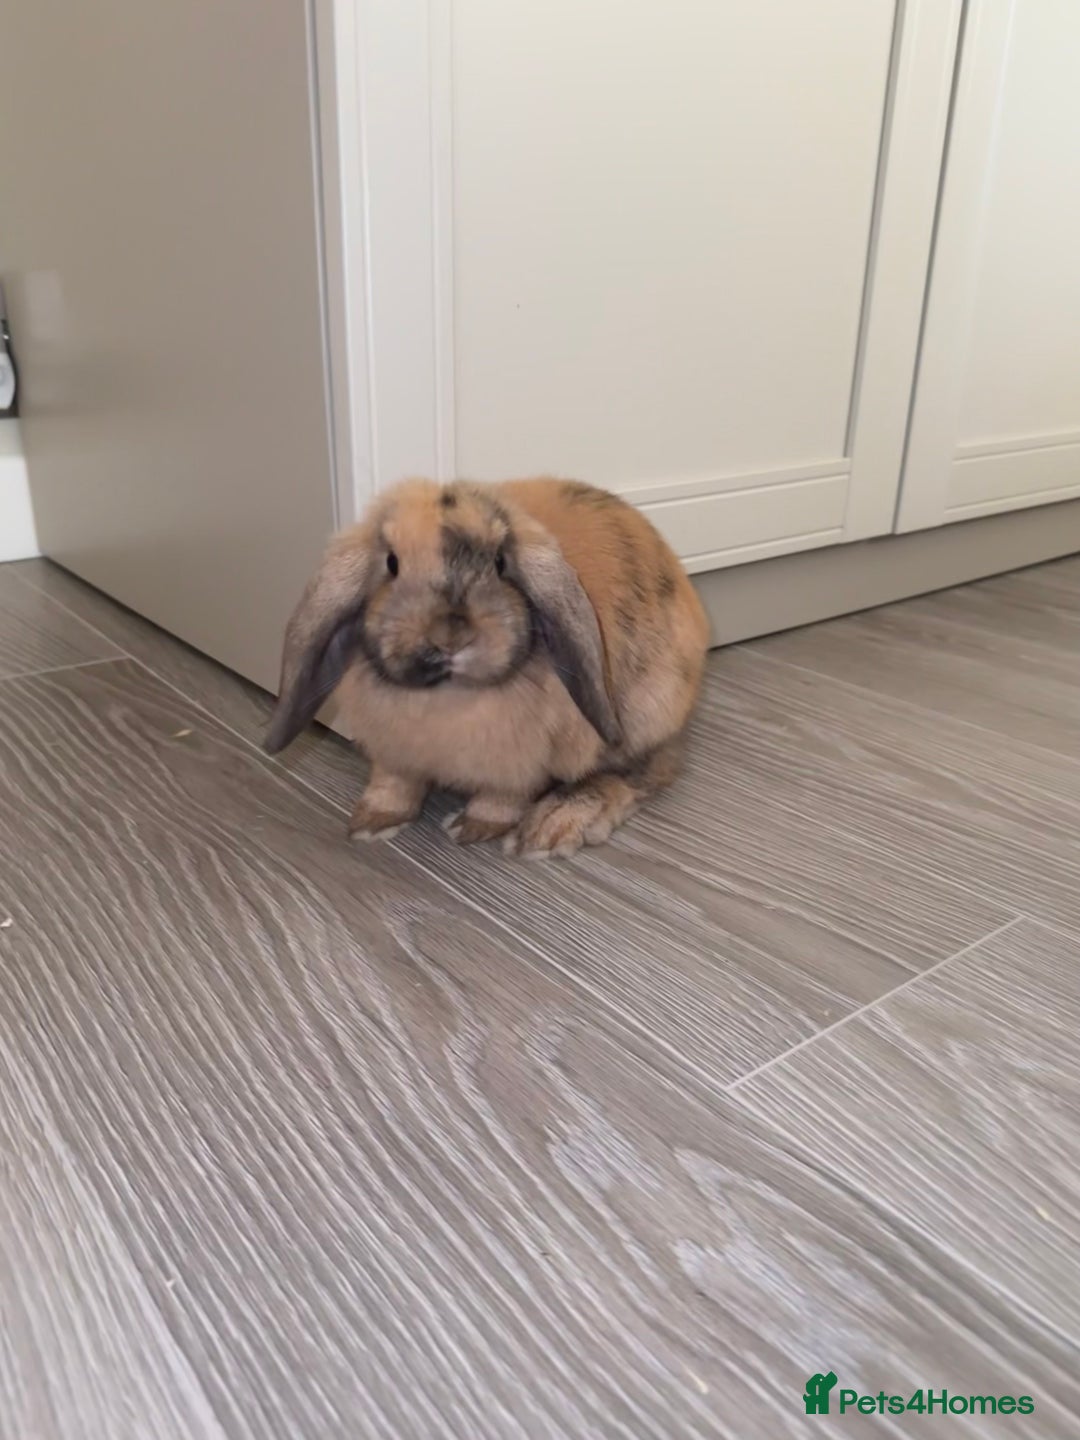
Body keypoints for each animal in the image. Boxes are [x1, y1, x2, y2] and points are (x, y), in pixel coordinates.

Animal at [265, 477, 710, 857]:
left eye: (499, 562)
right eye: (391, 563)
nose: (450, 636)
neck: (445, 697)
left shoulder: (521, 763)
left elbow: (503, 797)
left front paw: (473, 827)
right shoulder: (392, 753)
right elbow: (393, 784)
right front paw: (372, 822)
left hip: (644, 716)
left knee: (643, 773)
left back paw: (550, 827)